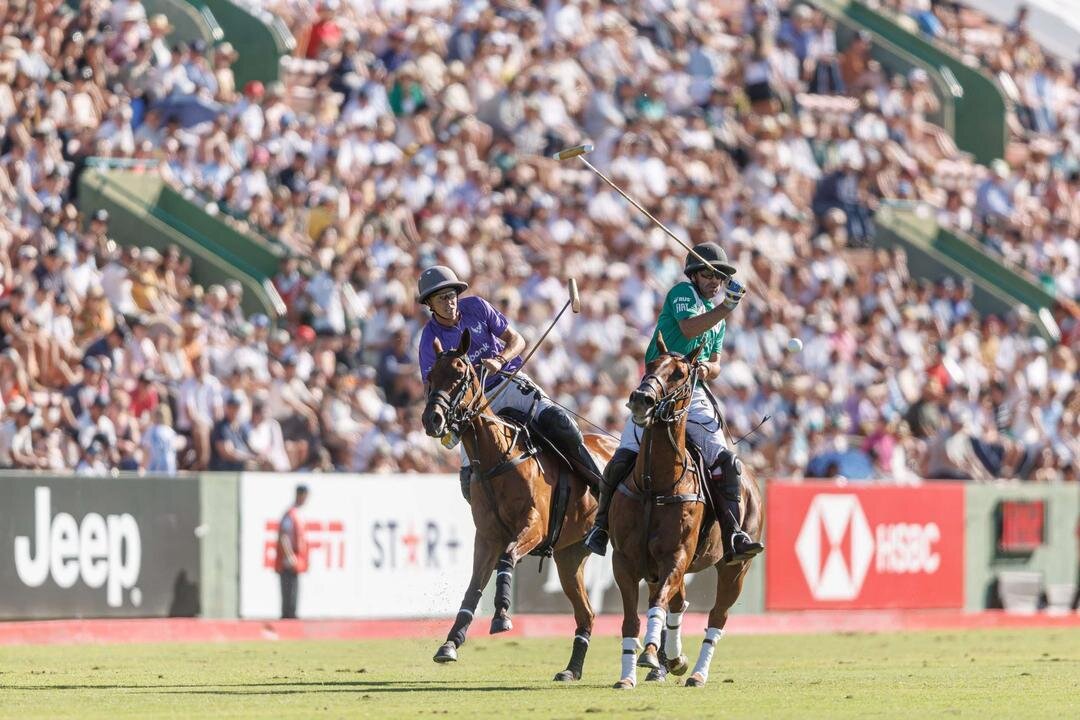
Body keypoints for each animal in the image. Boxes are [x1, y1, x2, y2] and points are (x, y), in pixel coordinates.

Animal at [419, 330, 613, 682]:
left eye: (459, 375)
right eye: (430, 376)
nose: (433, 419)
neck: (498, 458)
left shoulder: (534, 526)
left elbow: (507, 558)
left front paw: (502, 616)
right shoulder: (487, 535)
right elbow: (474, 586)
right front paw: (450, 643)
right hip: (570, 555)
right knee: (587, 613)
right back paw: (572, 670)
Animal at [613, 334, 764, 690]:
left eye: (680, 374)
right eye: (650, 364)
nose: (641, 399)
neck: (654, 484)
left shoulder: (676, 555)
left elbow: (656, 604)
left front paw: (649, 654)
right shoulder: (624, 560)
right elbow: (631, 620)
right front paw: (629, 675)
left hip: (736, 567)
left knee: (717, 617)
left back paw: (696, 672)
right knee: (679, 603)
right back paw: (673, 660)